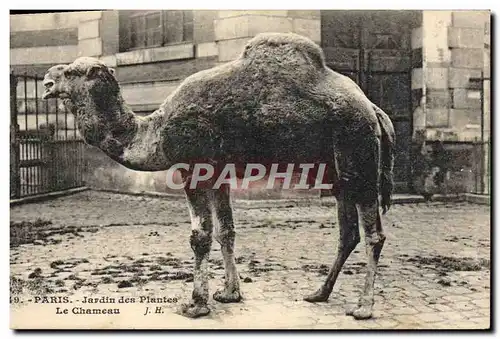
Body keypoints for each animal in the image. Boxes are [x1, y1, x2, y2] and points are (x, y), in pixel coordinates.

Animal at [42, 32, 394, 322]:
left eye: (71, 72)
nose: (47, 80)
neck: (153, 131)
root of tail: (375, 110)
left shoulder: (193, 168)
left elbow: (200, 236)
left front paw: (196, 304)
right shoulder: (218, 174)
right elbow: (227, 231)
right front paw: (229, 293)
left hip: (358, 151)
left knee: (373, 234)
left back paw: (363, 307)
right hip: (340, 172)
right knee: (348, 232)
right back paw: (319, 293)